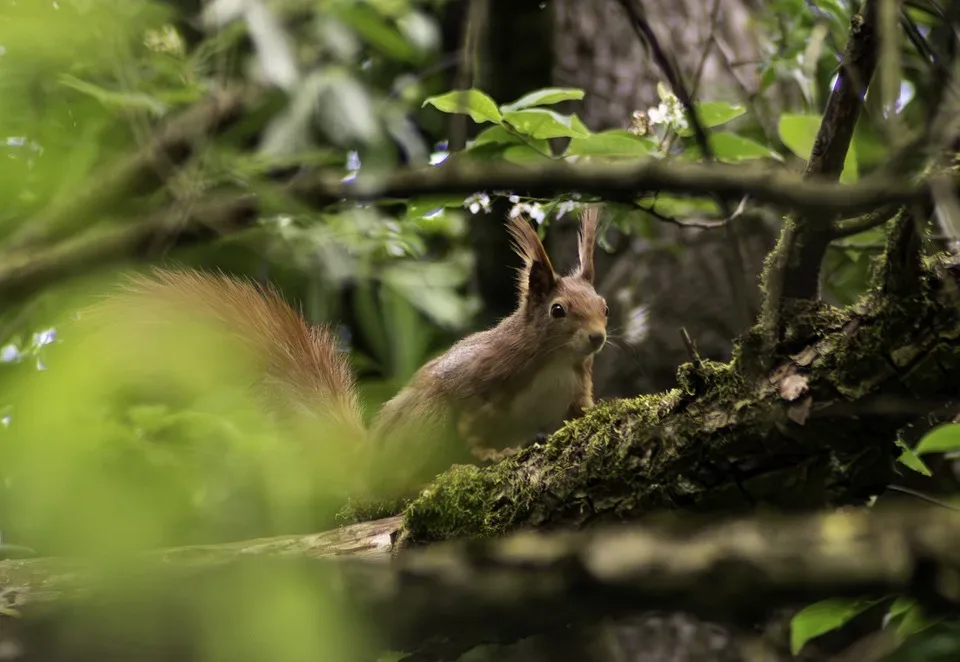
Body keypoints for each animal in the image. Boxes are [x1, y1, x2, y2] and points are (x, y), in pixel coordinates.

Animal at [99, 208, 608, 492]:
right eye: (558, 310)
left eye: (603, 305)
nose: (598, 338)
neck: (554, 360)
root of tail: (367, 460)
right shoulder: (484, 373)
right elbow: (470, 412)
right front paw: (491, 453)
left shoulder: (578, 381)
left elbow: (581, 409)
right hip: (424, 422)